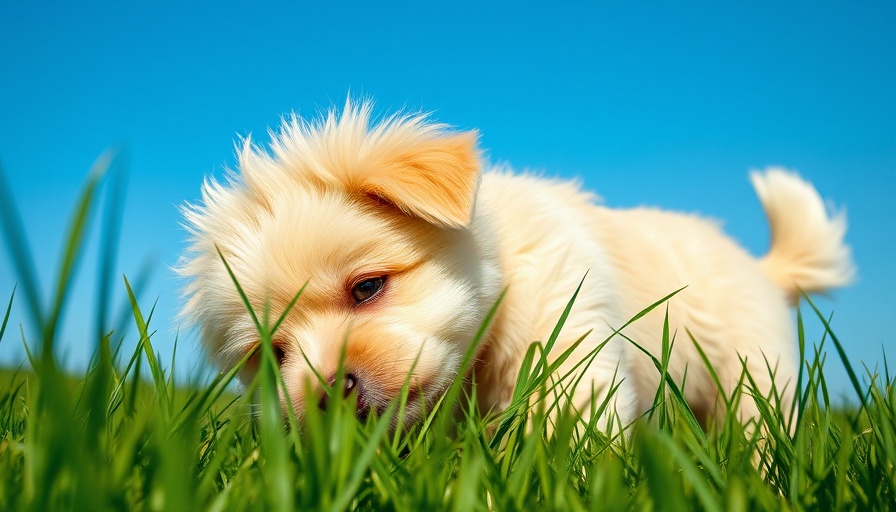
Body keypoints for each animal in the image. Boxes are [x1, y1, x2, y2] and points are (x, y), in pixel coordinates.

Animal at [177, 100, 856, 428]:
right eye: (272, 355)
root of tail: (762, 269)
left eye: (367, 287)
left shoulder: (570, 348)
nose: (329, 395)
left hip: (754, 375)